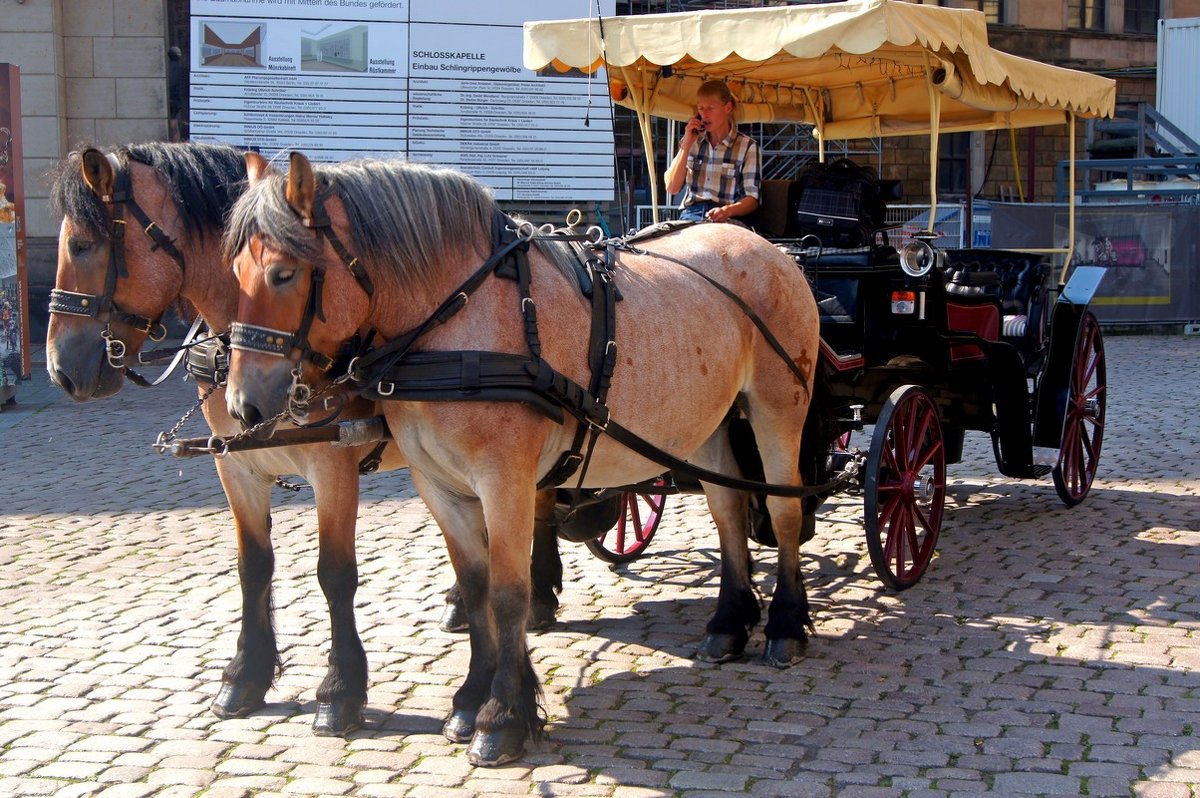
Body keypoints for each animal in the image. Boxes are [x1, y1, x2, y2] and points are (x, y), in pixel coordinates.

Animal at [223, 151, 825, 768]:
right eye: (234, 273)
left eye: (284, 273)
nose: (242, 406)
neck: (458, 321)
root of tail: (768, 248)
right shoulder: (438, 484)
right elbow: (477, 587)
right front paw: (470, 697)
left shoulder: (502, 480)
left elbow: (508, 594)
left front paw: (503, 714)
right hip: (705, 422)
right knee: (727, 508)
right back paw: (729, 621)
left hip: (778, 407)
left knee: (784, 514)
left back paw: (785, 626)